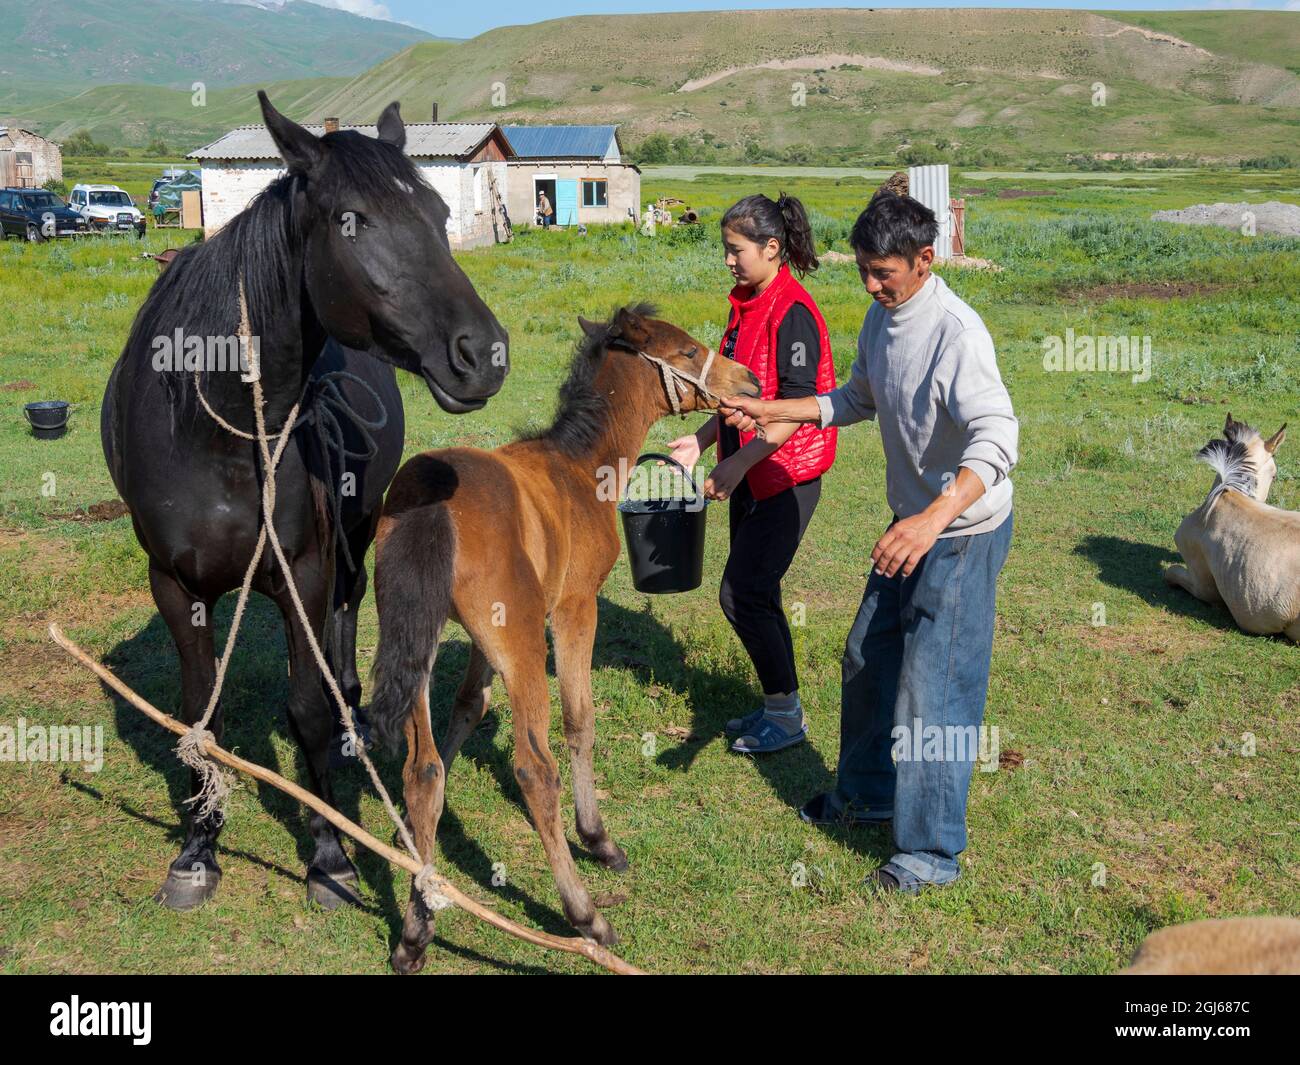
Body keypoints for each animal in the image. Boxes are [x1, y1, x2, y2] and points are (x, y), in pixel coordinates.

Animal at [102, 93, 506, 910]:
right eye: (352, 219)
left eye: (441, 211)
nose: (483, 354)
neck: (216, 435)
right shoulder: (174, 584)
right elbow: (201, 711)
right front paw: (197, 847)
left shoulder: (305, 571)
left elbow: (310, 708)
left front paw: (330, 855)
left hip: (355, 530)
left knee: (345, 622)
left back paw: (354, 715)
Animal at [369, 304, 759, 972]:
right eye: (686, 351)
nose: (750, 383)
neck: (578, 467)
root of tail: (426, 502)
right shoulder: (574, 608)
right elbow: (580, 721)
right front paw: (597, 838)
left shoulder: (480, 641)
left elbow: (468, 709)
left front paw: (418, 847)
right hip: (523, 641)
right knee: (534, 769)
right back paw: (586, 915)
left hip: (417, 636)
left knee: (421, 771)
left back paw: (416, 930)